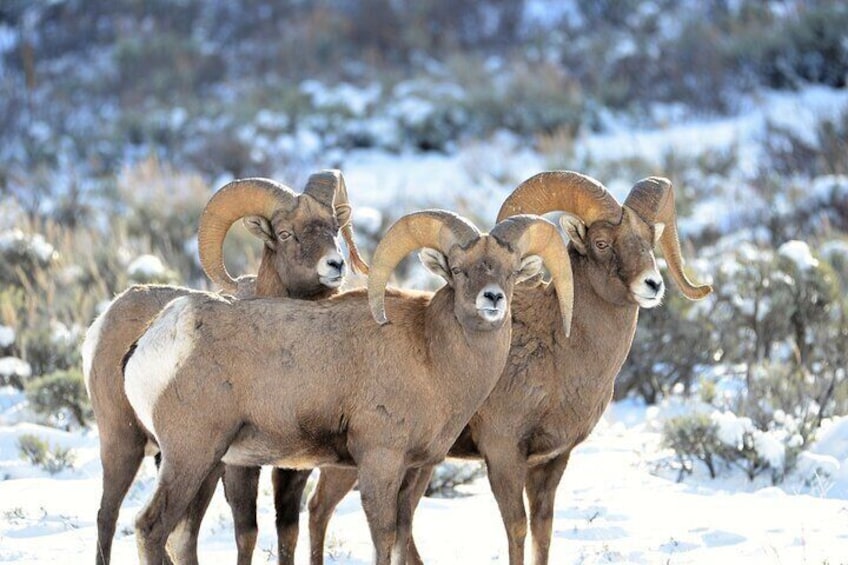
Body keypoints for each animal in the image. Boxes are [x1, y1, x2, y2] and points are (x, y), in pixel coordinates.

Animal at [82, 171, 368, 564]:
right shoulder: (238, 466)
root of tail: (109, 316)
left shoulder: (293, 465)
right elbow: (246, 532)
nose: (335, 265)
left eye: (334, 227)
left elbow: (287, 530)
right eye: (285, 233)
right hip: (128, 444)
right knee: (109, 517)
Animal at [122, 209, 572, 560]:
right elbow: (383, 539)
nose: (492, 299)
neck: (433, 357)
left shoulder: (415, 470)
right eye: (459, 271)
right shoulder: (379, 462)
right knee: (150, 528)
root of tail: (158, 335)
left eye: (511, 273)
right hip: (191, 455)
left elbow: (401, 539)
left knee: (179, 536)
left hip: (207, 463)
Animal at [302, 171, 712, 564]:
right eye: (601, 243)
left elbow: (543, 532)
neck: (561, 353)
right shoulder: (503, 453)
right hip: (359, 463)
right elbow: (517, 528)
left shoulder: (552, 461)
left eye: (649, 240)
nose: (652, 285)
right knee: (321, 509)